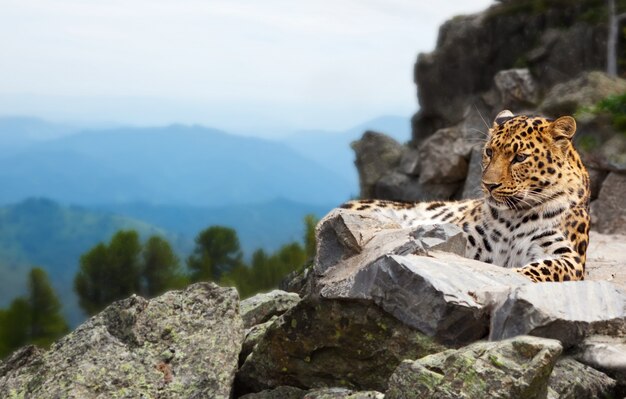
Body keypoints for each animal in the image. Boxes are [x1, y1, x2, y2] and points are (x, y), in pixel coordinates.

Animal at [338, 111, 588, 282]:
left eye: (520, 158)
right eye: (489, 152)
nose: (489, 185)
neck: (515, 216)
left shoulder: (569, 256)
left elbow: (544, 268)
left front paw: (515, 275)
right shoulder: (468, 240)